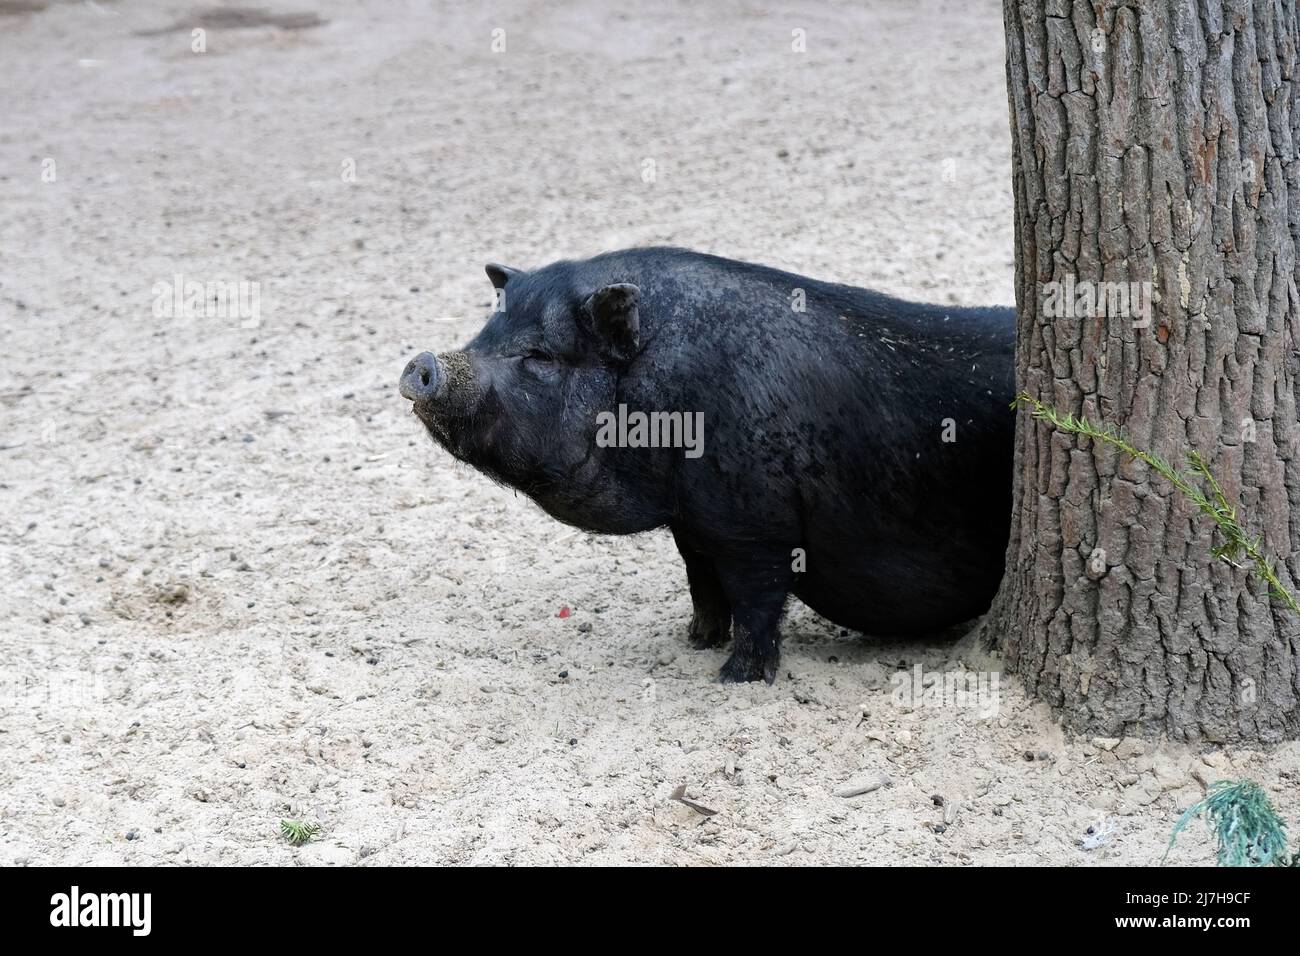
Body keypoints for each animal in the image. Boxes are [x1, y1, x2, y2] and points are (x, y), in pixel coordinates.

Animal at [397, 247, 1013, 681]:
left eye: (540, 356)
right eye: (484, 332)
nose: (422, 362)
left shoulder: (758, 526)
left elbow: (757, 600)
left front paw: (734, 678)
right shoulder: (692, 524)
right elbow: (702, 583)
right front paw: (692, 641)